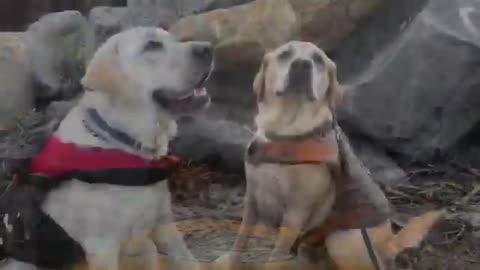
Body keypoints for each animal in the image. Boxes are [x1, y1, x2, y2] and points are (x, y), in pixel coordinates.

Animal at [0, 27, 214, 270]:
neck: (124, 144)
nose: (208, 48)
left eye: (173, 39)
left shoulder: (164, 223)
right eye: (152, 46)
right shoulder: (102, 247)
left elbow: (186, 259)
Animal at [218, 41, 442, 268]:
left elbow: (275, 257)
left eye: (318, 60)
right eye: (285, 54)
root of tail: (390, 244)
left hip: (341, 240)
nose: (302, 64)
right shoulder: (252, 199)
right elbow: (241, 239)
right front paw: (230, 263)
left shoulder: (295, 213)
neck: (286, 131)